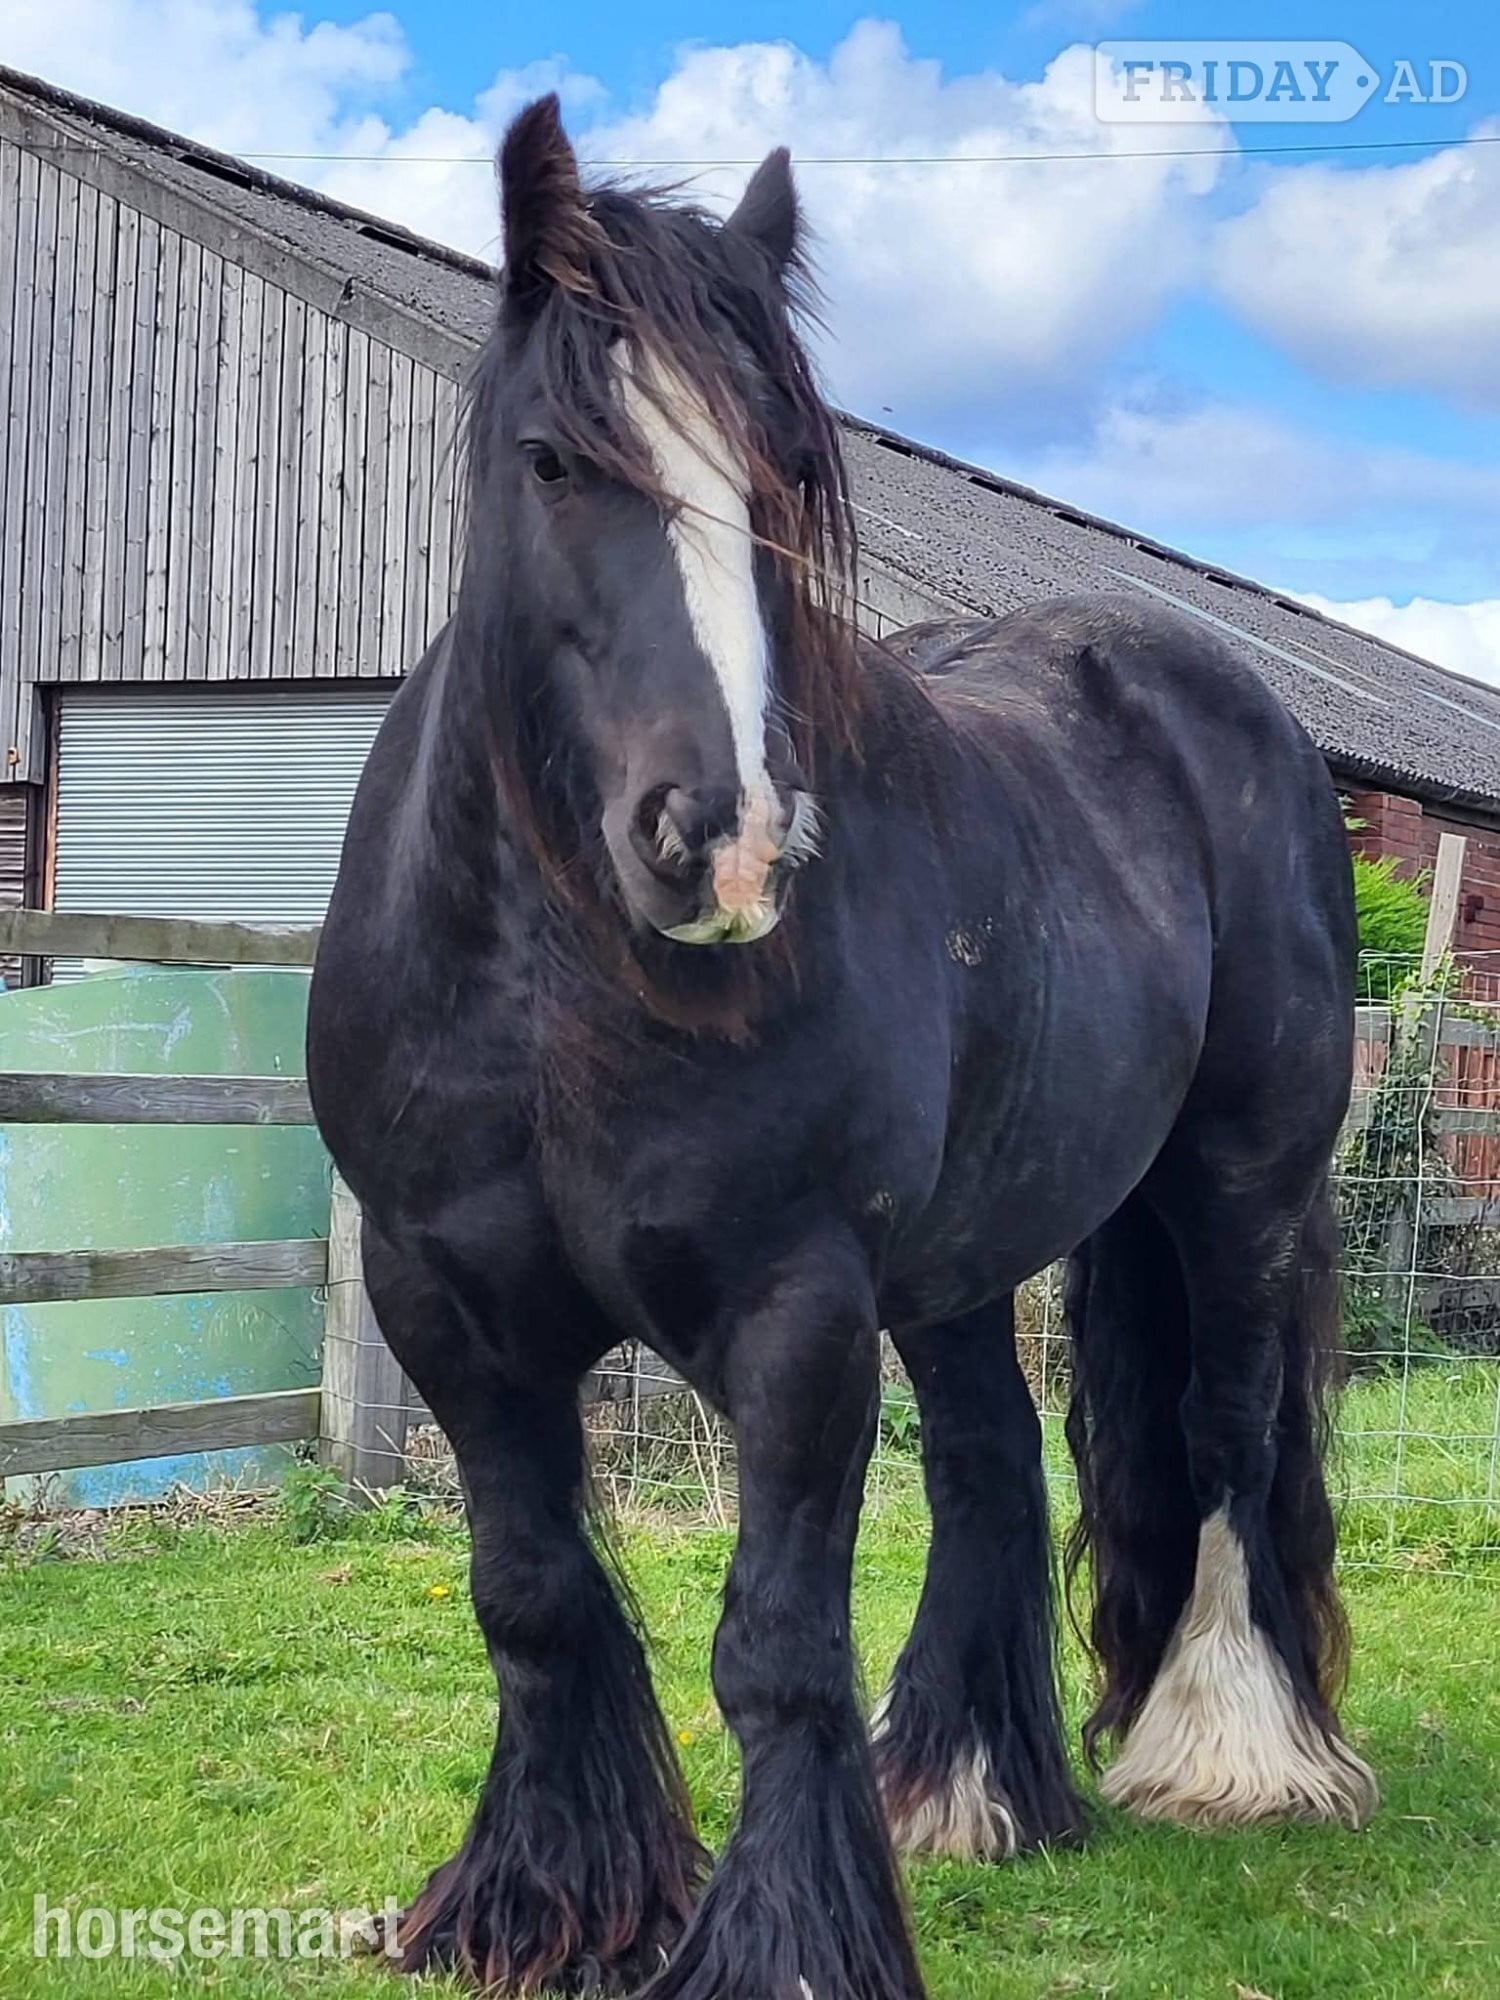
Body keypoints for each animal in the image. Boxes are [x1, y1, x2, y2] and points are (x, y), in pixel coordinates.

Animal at [306, 93, 1377, 2000]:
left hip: (1242, 1189)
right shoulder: (446, 1309)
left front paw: (784, 1946)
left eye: (784, 486)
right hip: (960, 1257)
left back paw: (1230, 1756)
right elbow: (530, 1595)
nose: (723, 841)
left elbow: (775, 1645)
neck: (548, 998)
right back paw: (963, 1788)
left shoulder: (794, 1308)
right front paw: (545, 1902)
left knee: (1234, 1436)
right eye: (555, 462)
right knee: (991, 1466)